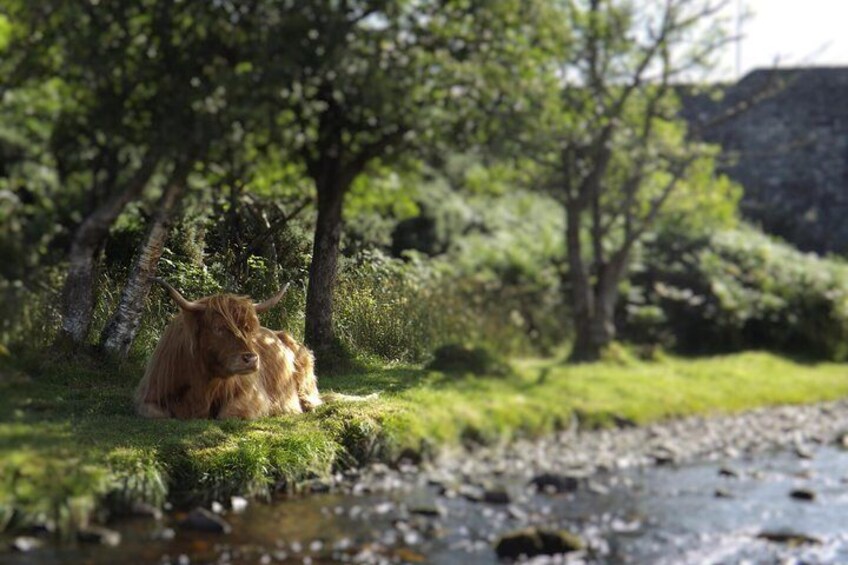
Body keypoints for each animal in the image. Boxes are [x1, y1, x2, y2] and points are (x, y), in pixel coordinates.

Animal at [134, 278, 322, 418]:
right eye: (218, 328)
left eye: (247, 329)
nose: (251, 359)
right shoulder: (147, 395)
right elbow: (159, 414)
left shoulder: (253, 396)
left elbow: (229, 414)